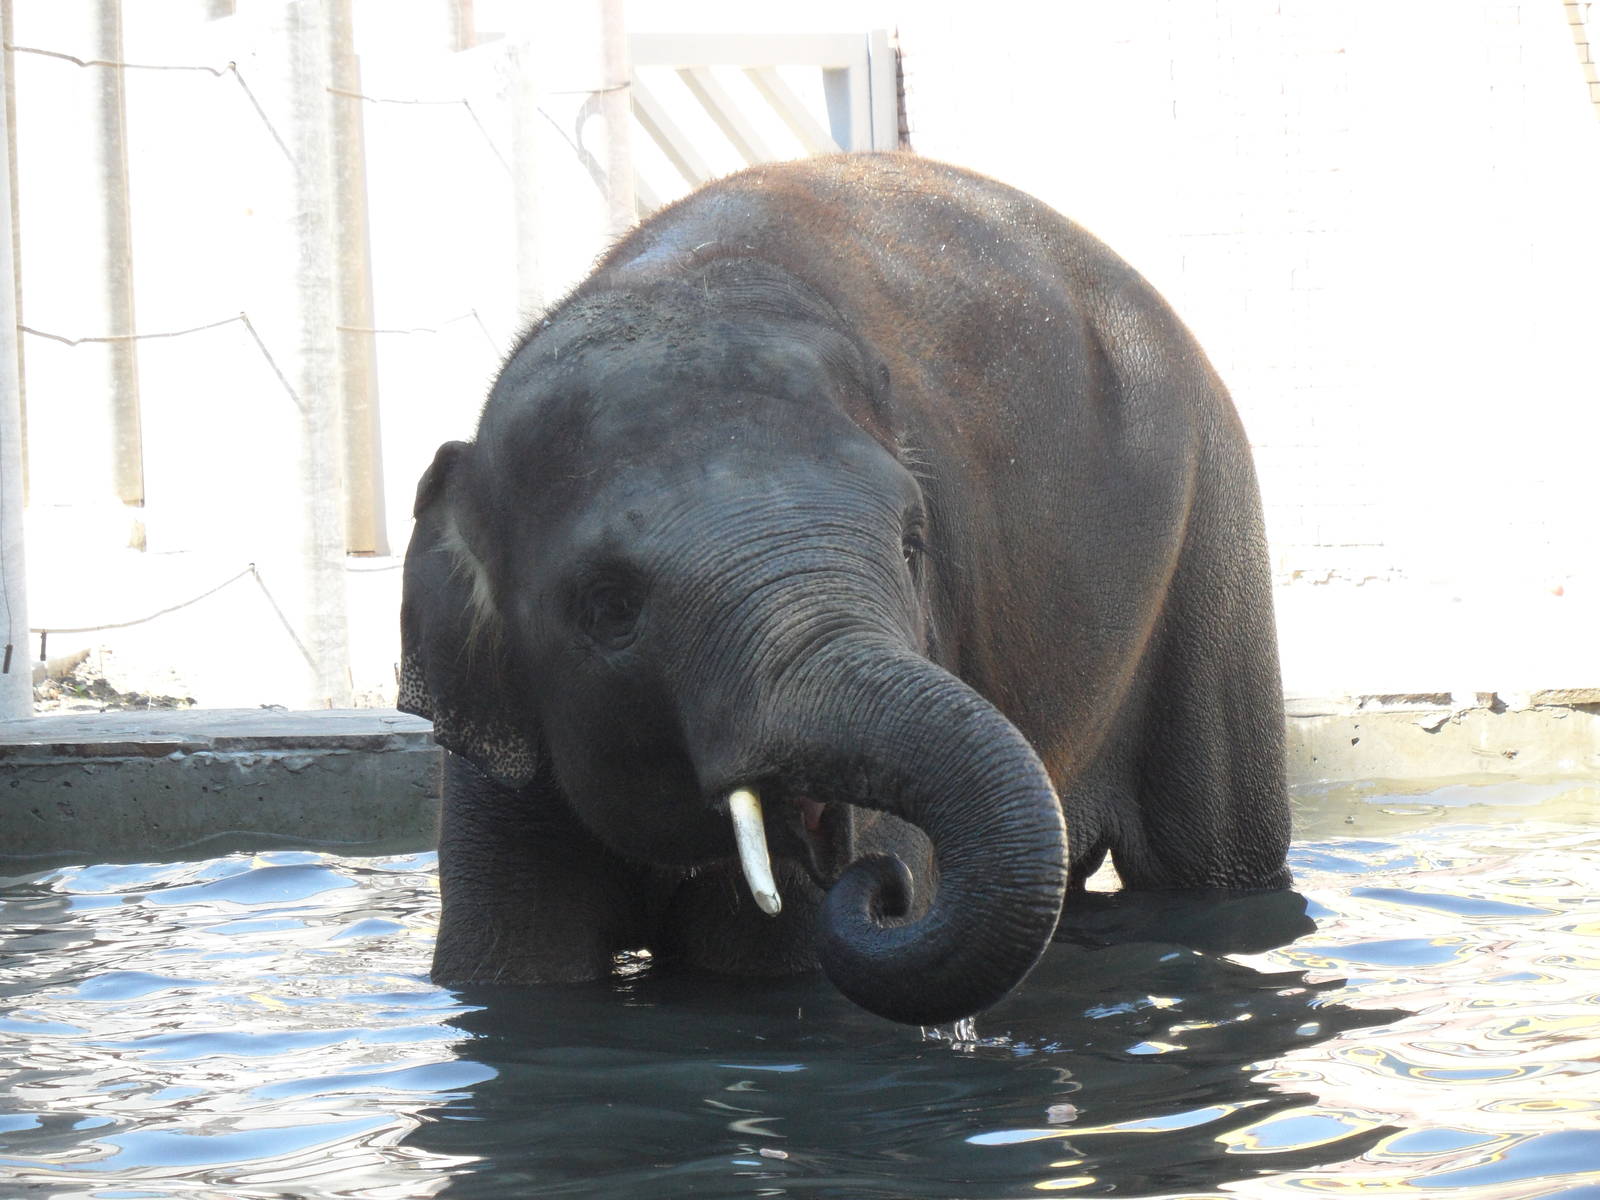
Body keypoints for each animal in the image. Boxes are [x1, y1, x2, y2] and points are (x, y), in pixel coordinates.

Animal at [399, 152, 1291, 1027]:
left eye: (911, 544)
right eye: (609, 607)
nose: (889, 888)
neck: (689, 278)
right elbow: (514, 965)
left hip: (1212, 540)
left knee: (1212, 852)